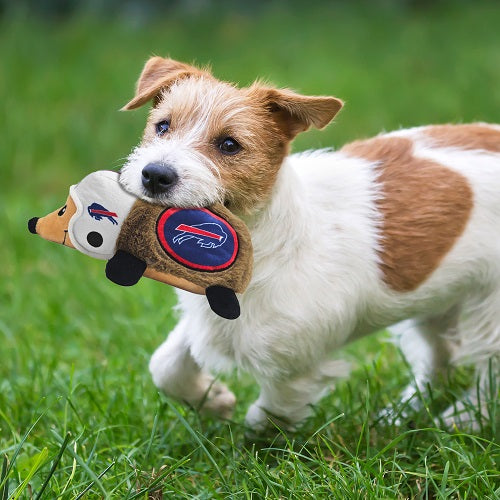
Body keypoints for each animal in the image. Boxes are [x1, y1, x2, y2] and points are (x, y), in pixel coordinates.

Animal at [119, 56, 498, 432]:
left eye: (229, 145)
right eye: (162, 126)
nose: (154, 174)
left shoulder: (295, 367)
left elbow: (267, 417)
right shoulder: (207, 320)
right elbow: (165, 365)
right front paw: (213, 400)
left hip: (488, 310)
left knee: (488, 372)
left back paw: (465, 418)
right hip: (436, 301)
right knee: (440, 357)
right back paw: (402, 415)